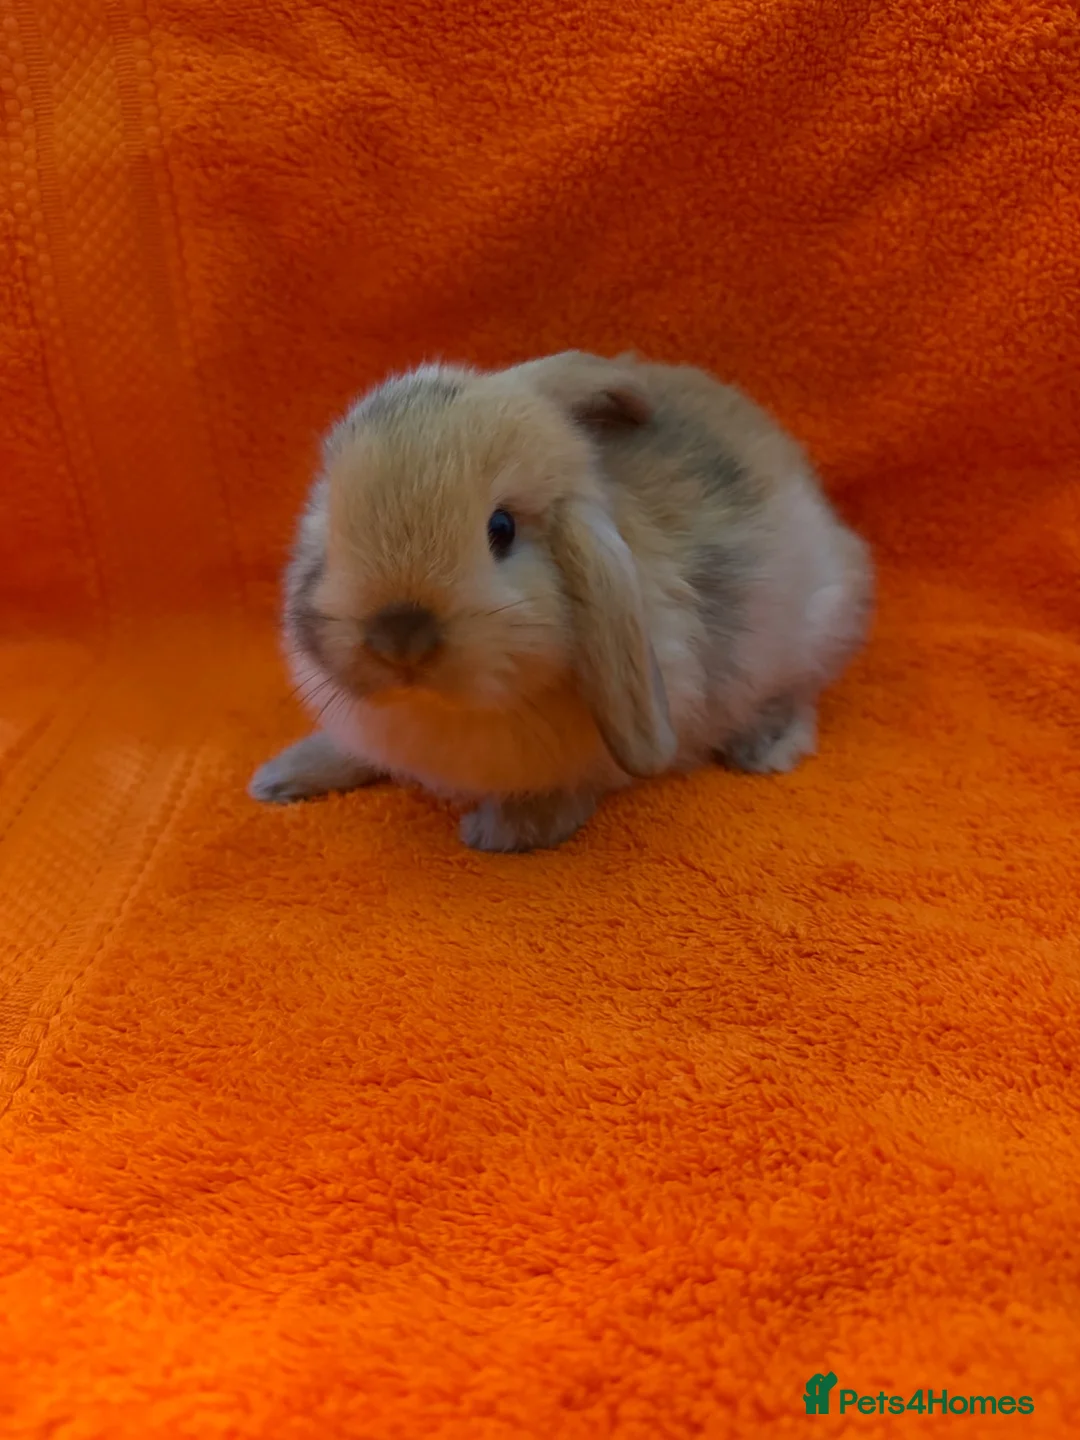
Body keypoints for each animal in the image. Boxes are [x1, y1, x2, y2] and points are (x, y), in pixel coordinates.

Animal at [249, 350, 873, 852]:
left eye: (501, 529)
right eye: (331, 526)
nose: (400, 639)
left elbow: (577, 783)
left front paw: (503, 831)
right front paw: (280, 779)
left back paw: (765, 747)